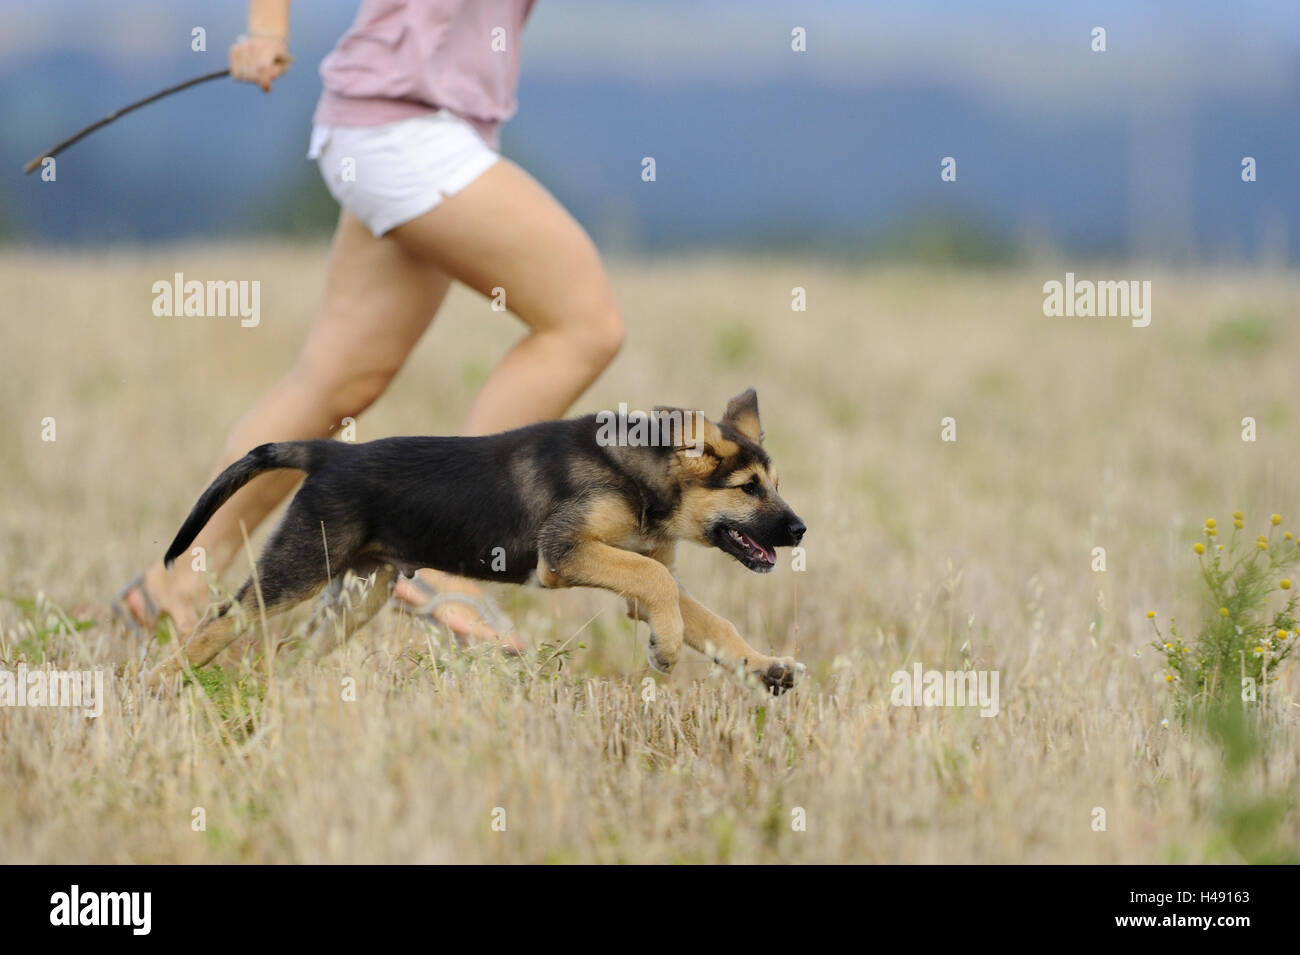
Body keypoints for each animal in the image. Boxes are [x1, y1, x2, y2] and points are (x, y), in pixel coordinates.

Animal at [147, 389, 806, 696]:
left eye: (775, 485)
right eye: (749, 489)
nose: (800, 531)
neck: (641, 473)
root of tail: (329, 453)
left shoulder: (629, 576)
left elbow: (705, 617)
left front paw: (764, 667)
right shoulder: (566, 553)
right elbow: (661, 582)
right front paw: (665, 652)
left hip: (363, 589)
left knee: (289, 649)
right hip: (301, 565)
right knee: (219, 619)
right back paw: (155, 683)